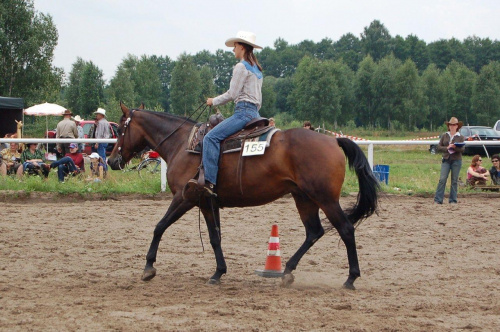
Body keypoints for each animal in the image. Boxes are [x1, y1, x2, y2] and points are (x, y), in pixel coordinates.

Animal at [107, 102, 376, 290]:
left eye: (120, 129)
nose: (111, 160)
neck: (183, 144)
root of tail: (333, 141)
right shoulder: (207, 202)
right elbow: (215, 238)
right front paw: (218, 273)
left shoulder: (185, 198)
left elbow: (159, 227)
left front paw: (148, 268)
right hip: (303, 198)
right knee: (314, 231)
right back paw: (287, 271)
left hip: (325, 199)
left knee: (345, 229)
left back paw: (350, 278)